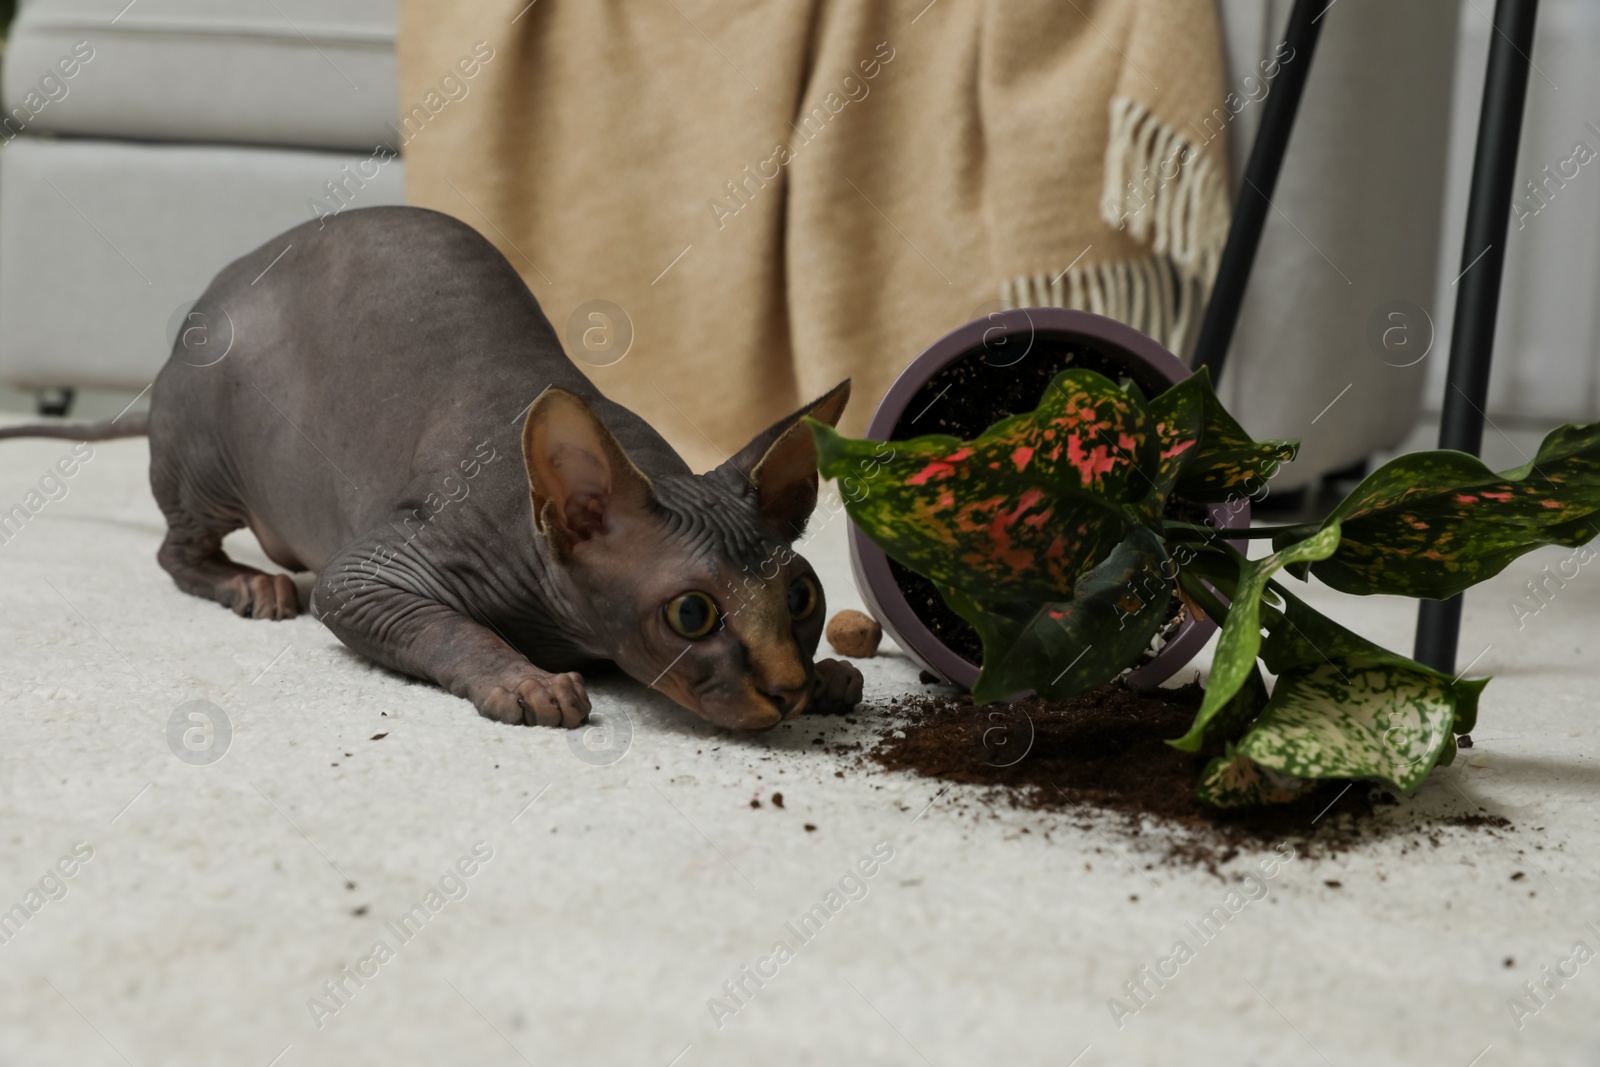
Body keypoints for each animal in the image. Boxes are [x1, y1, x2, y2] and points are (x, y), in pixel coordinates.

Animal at [3, 204, 864, 729]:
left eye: (801, 596)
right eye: (691, 614)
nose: (787, 689)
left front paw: (829, 677)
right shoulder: (373, 569)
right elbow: (442, 623)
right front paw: (523, 679)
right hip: (211, 453)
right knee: (177, 548)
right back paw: (251, 583)